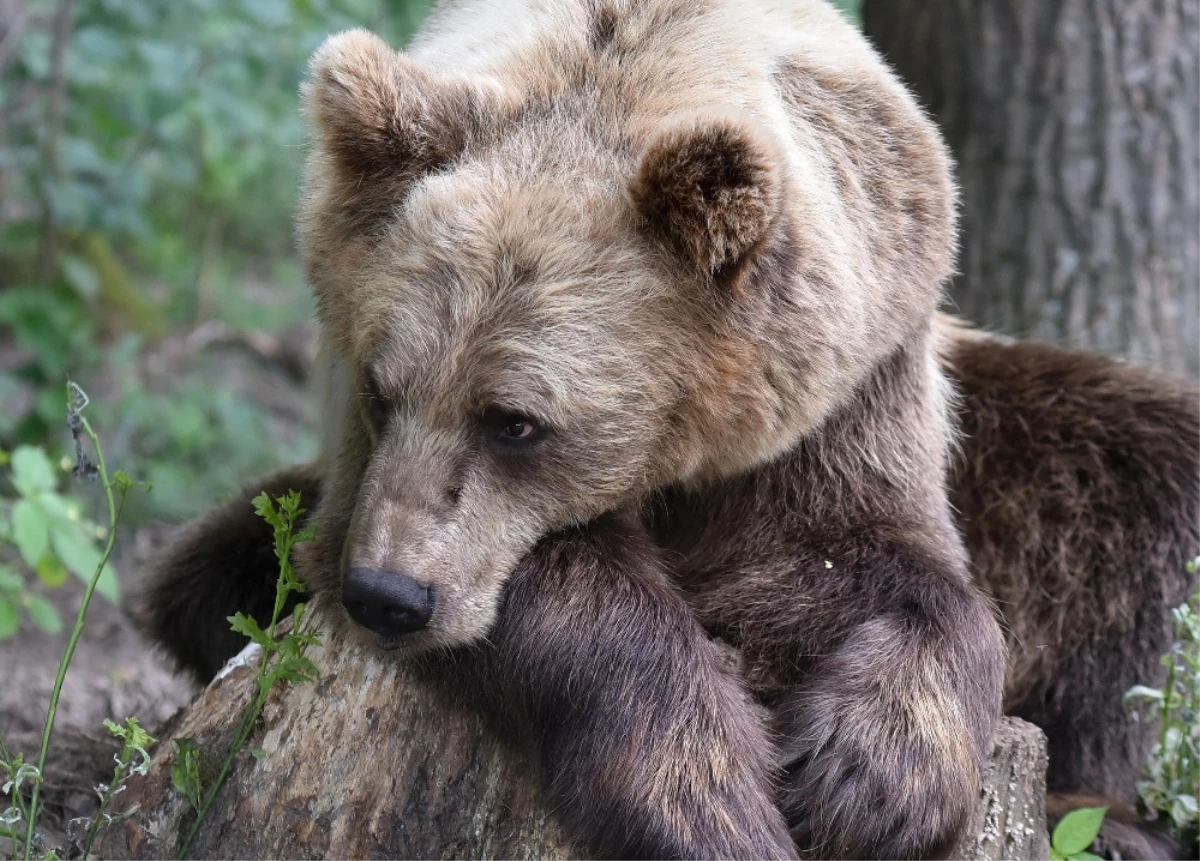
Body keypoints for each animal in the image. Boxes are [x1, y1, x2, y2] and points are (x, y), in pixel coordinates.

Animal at [136, 1, 1200, 861]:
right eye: (380, 387)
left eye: (515, 420)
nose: (389, 594)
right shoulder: (357, 462)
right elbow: (563, 584)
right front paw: (706, 798)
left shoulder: (849, 389)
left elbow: (883, 565)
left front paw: (867, 778)